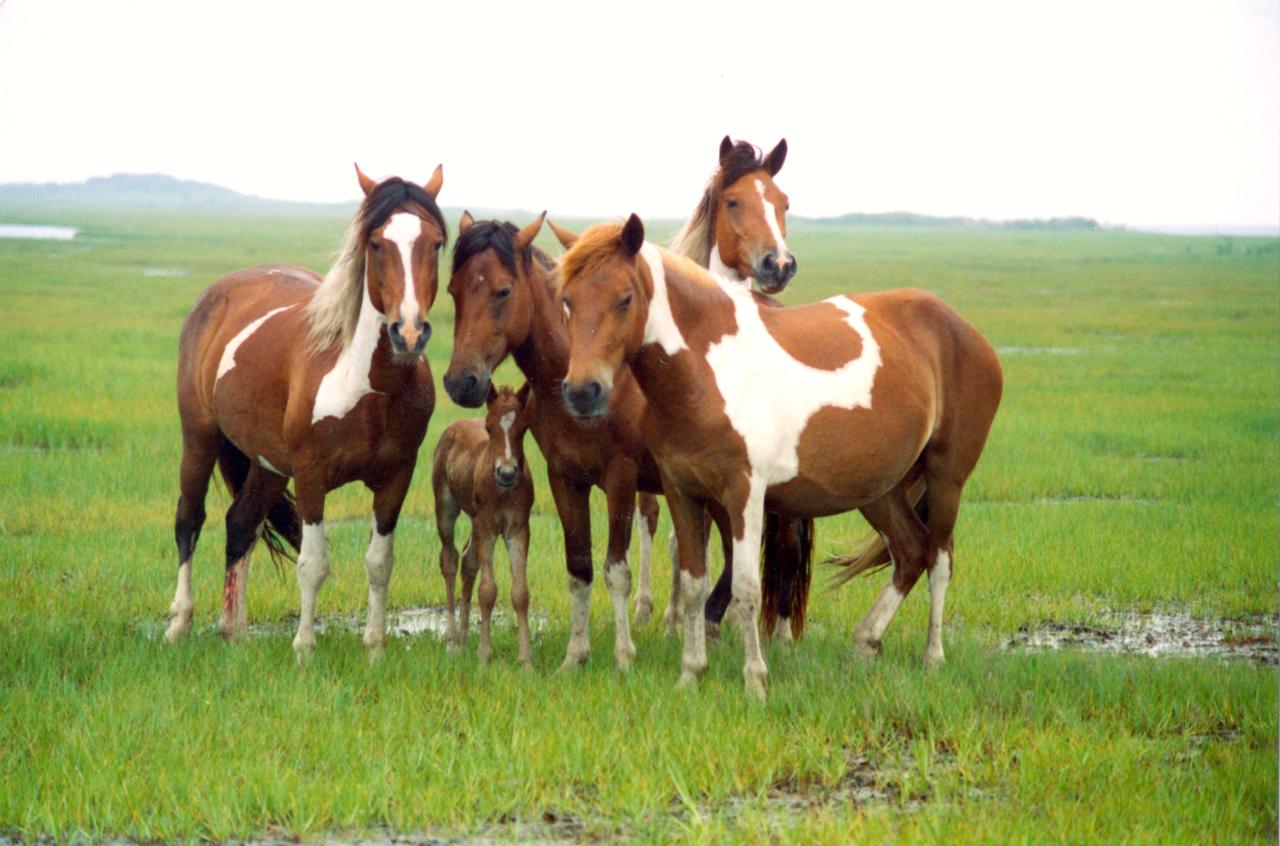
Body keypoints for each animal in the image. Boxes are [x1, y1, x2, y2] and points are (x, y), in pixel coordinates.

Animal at [167, 164, 447, 663]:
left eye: (435, 243)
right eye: (377, 243)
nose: (410, 333)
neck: (367, 386)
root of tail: (219, 293)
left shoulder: (396, 477)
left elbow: (379, 563)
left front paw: (375, 650)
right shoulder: (312, 475)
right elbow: (312, 564)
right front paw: (304, 650)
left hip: (268, 464)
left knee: (240, 524)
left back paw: (234, 633)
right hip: (199, 437)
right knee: (190, 519)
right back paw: (179, 625)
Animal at [431, 384, 535, 667]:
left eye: (524, 427)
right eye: (489, 428)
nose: (507, 473)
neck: (503, 491)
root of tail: (453, 426)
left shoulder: (518, 529)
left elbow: (520, 592)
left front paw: (526, 661)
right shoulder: (487, 528)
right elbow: (488, 591)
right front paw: (484, 656)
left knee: (468, 561)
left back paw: (464, 637)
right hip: (446, 508)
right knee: (450, 559)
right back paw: (451, 640)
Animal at [556, 215, 1003, 699]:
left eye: (624, 298)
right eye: (567, 300)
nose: (582, 392)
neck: (709, 371)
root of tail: (963, 330)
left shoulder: (745, 494)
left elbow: (746, 587)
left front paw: (755, 680)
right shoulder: (683, 492)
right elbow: (693, 585)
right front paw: (691, 674)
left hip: (946, 478)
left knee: (939, 560)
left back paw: (932, 657)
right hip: (878, 490)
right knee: (910, 551)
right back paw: (866, 641)